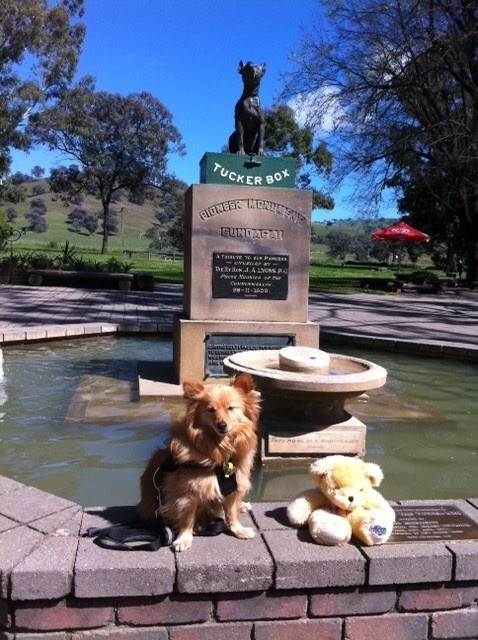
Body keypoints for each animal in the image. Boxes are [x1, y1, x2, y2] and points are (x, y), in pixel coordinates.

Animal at [137, 376, 262, 552]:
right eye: (210, 410)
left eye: (231, 408)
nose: (222, 425)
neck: (220, 451)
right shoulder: (187, 493)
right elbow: (187, 519)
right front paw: (184, 539)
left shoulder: (235, 486)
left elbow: (231, 513)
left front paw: (238, 530)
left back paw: (242, 505)